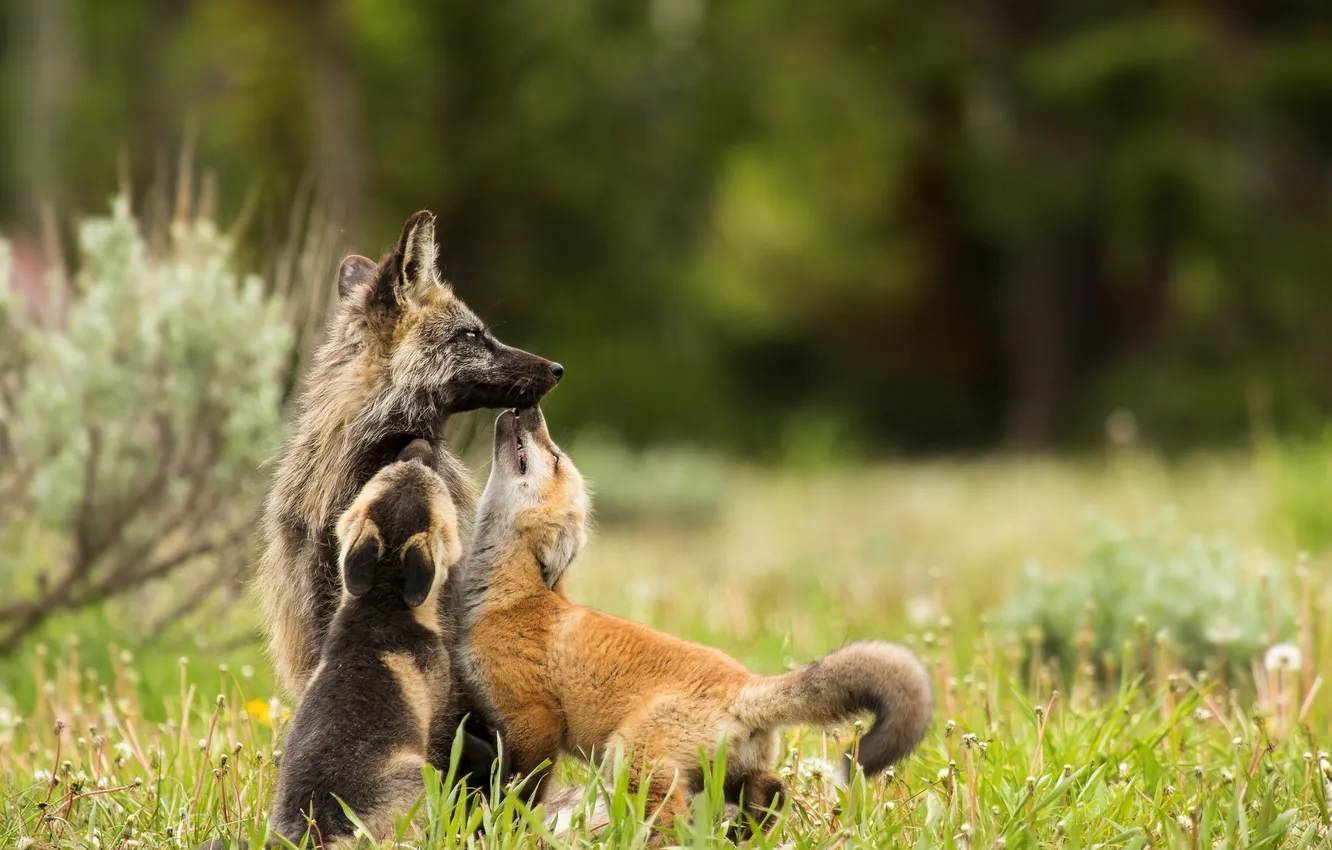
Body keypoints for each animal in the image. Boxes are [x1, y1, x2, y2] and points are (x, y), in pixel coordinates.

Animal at [458, 408, 934, 843]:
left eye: (554, 457)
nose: (529, 407)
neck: (509, 599)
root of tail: (744, 685)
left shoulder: (533, 721)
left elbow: (521, 794)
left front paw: (508, 831)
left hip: (628, 760)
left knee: (675, 823)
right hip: (723, 773)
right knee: (772, 791)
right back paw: (746, 831)